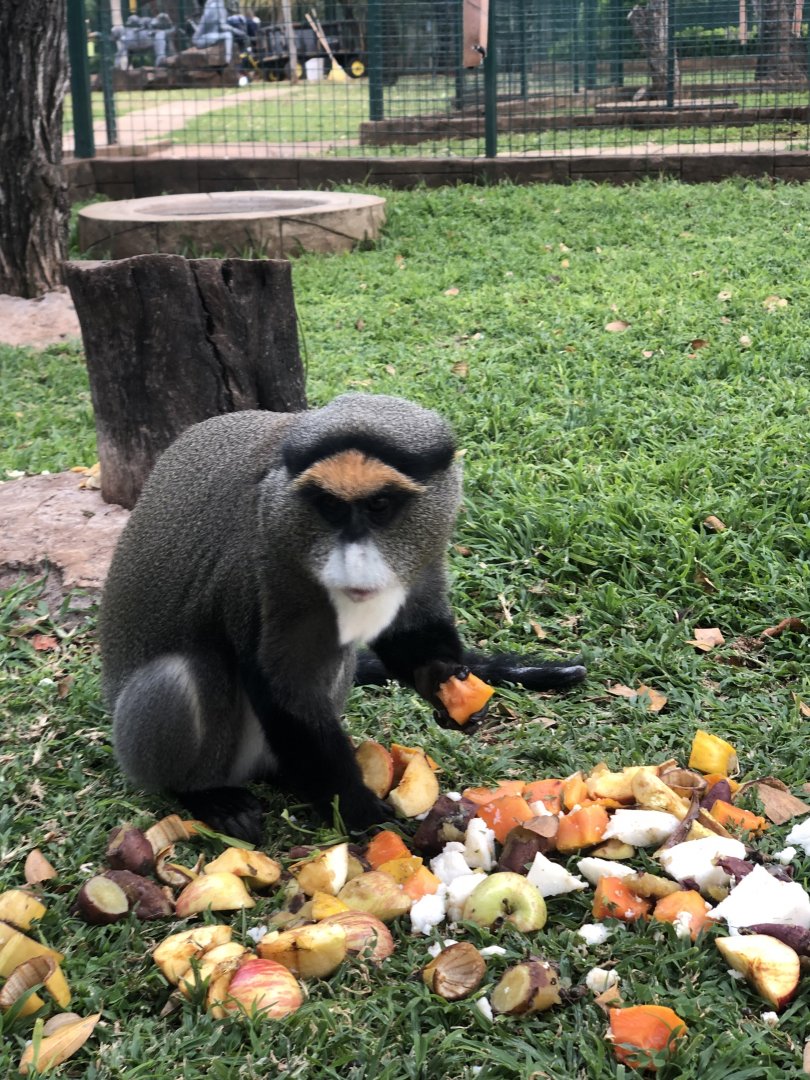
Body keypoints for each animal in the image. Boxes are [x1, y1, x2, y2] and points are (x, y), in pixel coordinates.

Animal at [101, 393, 585, 844]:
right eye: (330, 508)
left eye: (380, 506)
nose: (354, 562)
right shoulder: (259, 562)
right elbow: (283, 687)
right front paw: (358, 810)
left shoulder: (423, 550)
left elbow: (406, 629)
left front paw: (442, 681)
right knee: (182, 675)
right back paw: (207, 794)